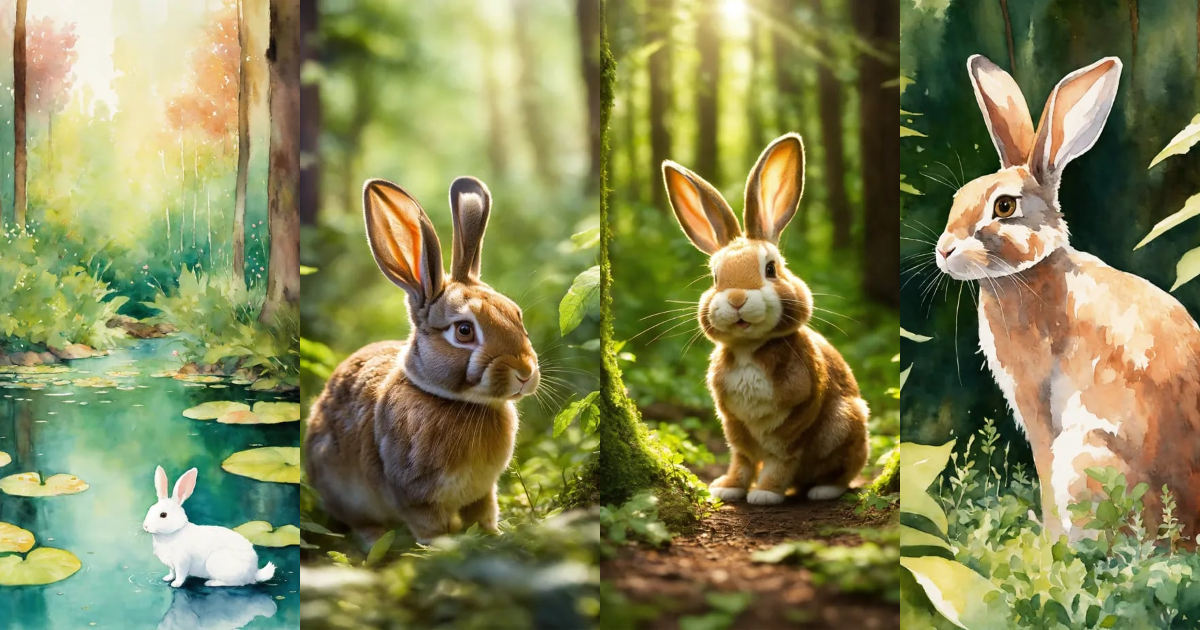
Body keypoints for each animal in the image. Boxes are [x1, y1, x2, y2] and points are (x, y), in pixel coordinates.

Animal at [143, 466, 276, 588]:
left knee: (234, 583)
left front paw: (175, 584)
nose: (145, 526)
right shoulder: (171, 565)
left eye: (163, 515)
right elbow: (172, 572)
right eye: (150, 509)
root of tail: (253, 572)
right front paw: (167, 578)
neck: (172, 534)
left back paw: (210, 583)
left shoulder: (182, 562)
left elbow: (180, 575)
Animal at [304, 176, 539, 543]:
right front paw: (441, 547)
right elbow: (431, 526)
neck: (457, 402)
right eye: (464, 331)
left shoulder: (482, 491)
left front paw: (494, 536)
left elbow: (484, 514)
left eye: (516, 315)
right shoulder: (417, 496)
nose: (525, 372)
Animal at [662, 133, 870, 506]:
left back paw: (822, 490)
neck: (750, 349)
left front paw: (765, 494)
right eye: (715, 278)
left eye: (771, 269)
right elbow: (742, 459)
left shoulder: (795, 421)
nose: (737, 299)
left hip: (848, 421)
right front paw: (728, 488)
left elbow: (779, 459)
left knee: (843, 472)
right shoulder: (734, 423)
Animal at [933, 54, 1200, 543]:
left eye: (1004, 207)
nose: (944, 251)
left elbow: (1042, 468)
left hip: (1086, 459)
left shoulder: (1037, 402)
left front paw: (1047, 539)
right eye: (958, 198)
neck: (1029, 275)